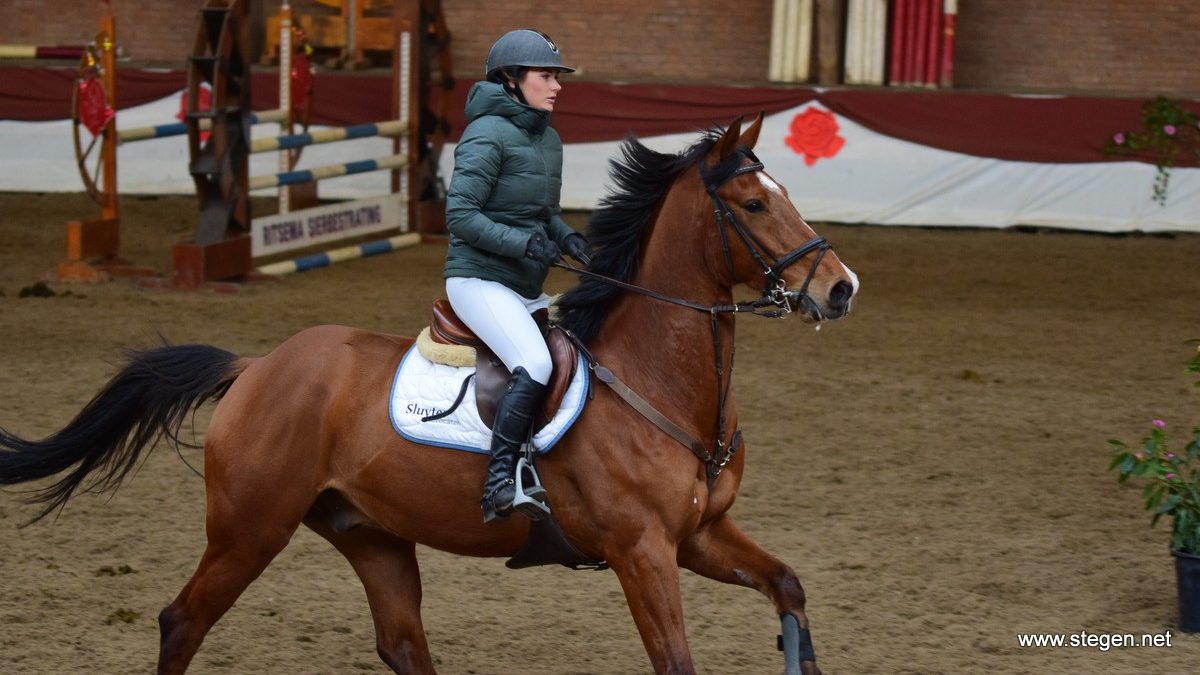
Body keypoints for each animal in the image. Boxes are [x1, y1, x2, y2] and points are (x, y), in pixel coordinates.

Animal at [0, 115, 854, 672]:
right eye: (753, 204)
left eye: (784, 192)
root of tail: (260, 365)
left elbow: (789, 587)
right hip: (250, 528)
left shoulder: (698, 535)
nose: (841, 287)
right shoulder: (640, 551)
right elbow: (677, 659)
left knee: (402, 642)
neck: (659, 378)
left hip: (370, 533)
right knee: (182, 621)